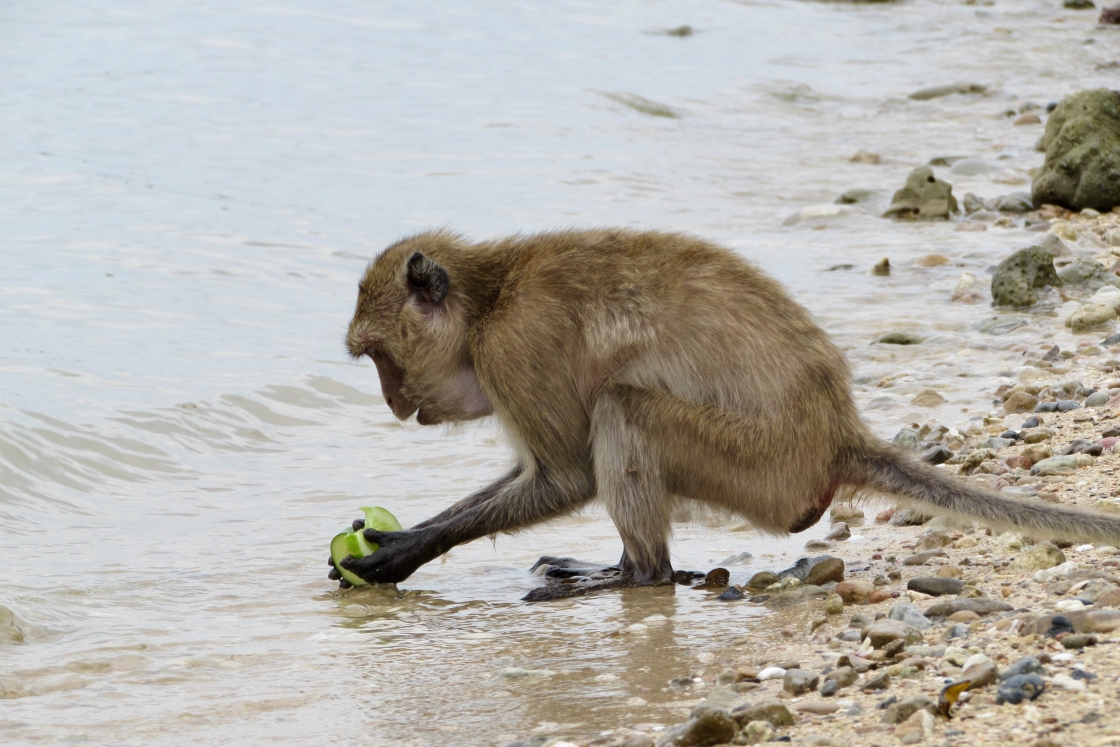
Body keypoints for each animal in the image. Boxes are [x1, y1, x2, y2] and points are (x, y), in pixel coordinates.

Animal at [329, 228, 1120, 601]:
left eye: (381, 359)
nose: (392, 403)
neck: (489, 298)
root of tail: (835, 434)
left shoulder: (517, 349)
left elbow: (567, 476)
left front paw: (402, 549)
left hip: (759, 469)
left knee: (622, 407)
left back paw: (638, 575)